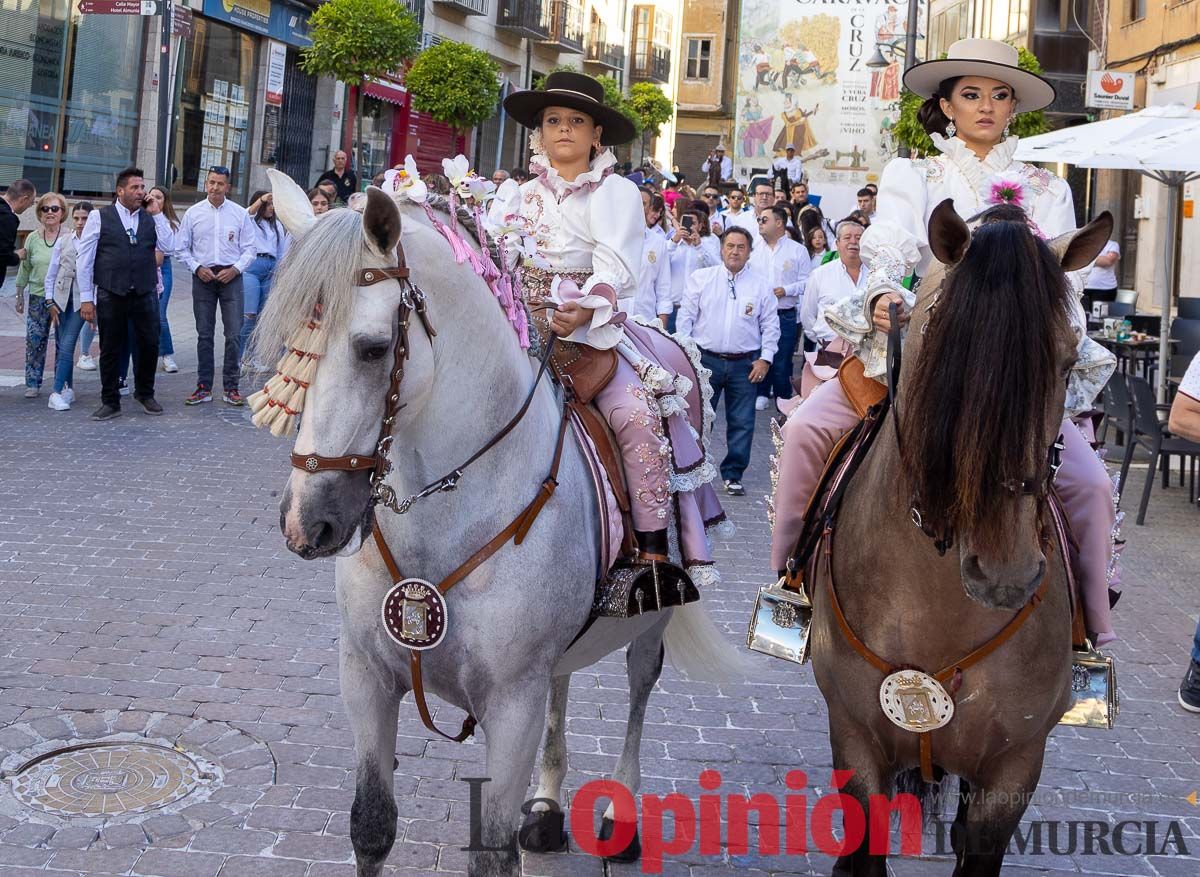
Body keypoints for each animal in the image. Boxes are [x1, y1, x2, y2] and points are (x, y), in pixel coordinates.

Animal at [256, 176, 744, 877]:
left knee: (638, 692)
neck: (445, 520)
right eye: (290, 343)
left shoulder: (511, 705)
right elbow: (371, 827)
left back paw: (620, 819)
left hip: (652, 620)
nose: (306, 521)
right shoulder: (366, 678)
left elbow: (491, 854)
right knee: (563, 685)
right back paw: (544, 809)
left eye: (372, 348)